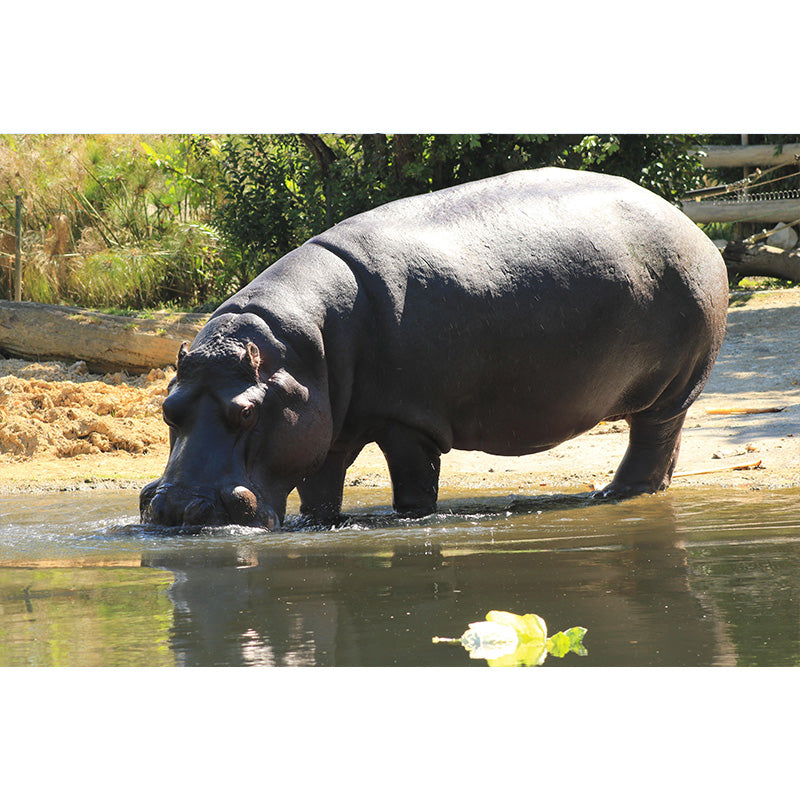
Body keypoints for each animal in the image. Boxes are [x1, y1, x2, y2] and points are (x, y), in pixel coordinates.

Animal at [140, 167, 728, 530]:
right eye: (167, 409)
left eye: (247, 412)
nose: (176, 510)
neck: (297, 350)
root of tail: (689, 222)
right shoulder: (326, 420)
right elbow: (319, 487)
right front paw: (323, 523)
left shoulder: (408, 421)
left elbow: (413, 486)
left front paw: (410, 520)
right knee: (665, 444)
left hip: (674, 384)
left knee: (653, 435)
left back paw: (615, 495)